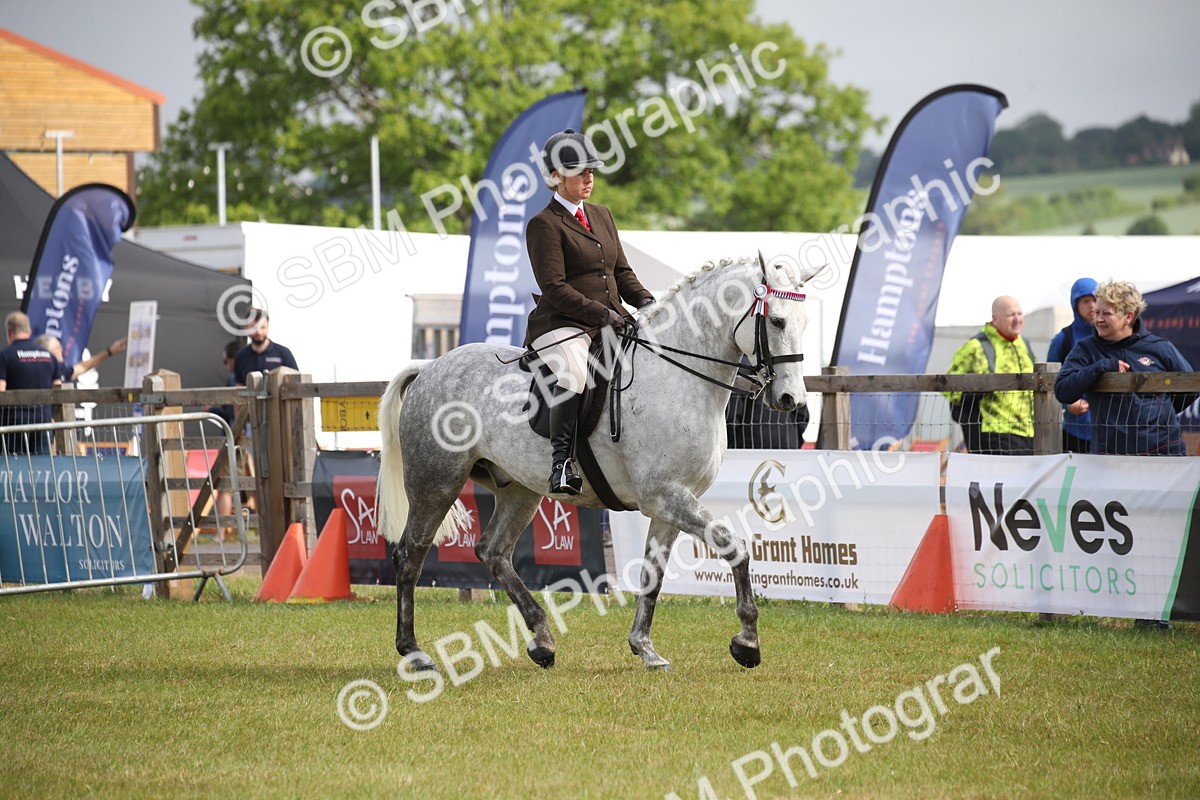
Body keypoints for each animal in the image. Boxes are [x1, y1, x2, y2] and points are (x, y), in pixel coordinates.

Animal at [377, 254, 823, 672]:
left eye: (805, 322)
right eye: (777, 321)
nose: (791, 400)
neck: (680, 377)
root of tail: (430, 367)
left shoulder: (670, 504)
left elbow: (652, 575)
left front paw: (645, 649)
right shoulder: (666, 496)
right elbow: (737, 548)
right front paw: (747, 643)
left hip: (519, 491)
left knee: (493, 552)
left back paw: (542, 641)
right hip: (436, 484)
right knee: (409, 556)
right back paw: (414, 652)